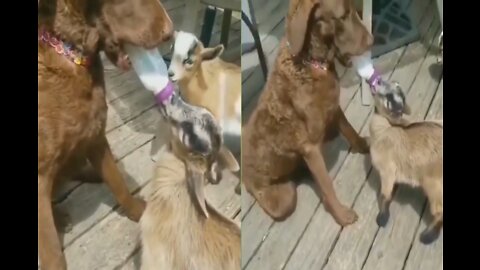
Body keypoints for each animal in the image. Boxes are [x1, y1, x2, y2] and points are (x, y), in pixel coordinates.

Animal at [38, 1, 172, 268]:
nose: (169, 32)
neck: (71, 51)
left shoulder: (96, 134)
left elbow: (118, 183)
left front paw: (139, 213)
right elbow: (52, 252)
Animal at [242, 0, 374, 226]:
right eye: (343, 16)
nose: (373, 41)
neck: (310, 63)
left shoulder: (334, 107)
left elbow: (349, 129)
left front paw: (363, 145)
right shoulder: (310, 147)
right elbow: (327, 186)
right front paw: (341, 214)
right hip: (279, 196)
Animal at [370, 81, 444, 244]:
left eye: (390, 96)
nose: (379, 81)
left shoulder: (386, 169)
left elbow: (385, 194)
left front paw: (382, 218)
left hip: (432, 183)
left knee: (440, 210)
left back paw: (428, 236)